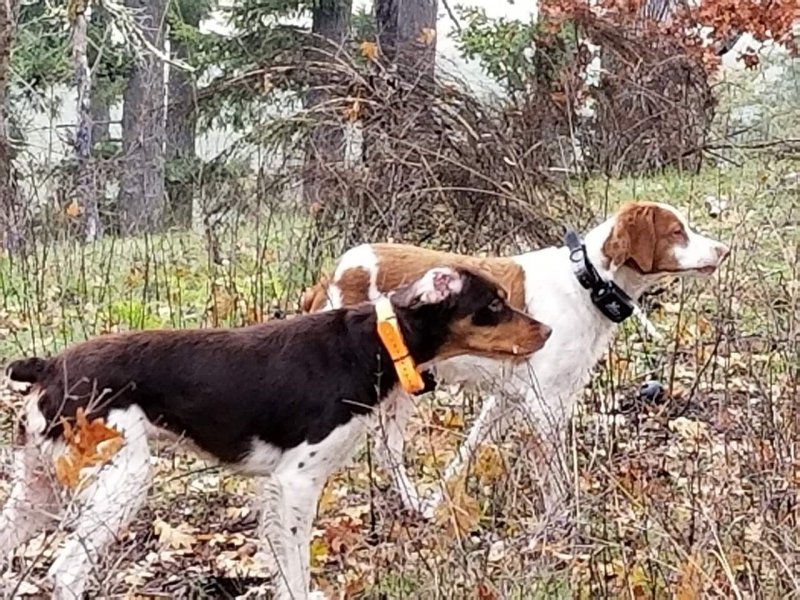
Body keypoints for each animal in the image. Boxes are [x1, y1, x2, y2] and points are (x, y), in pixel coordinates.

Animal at [0, 268, 552, 600]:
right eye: (494, 305)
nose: (546, 331)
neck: (376, 342)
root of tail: (49, 366)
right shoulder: (296, 481)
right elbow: (296, 563)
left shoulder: (278, 488)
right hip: (121, 481)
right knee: (67, 571)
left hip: (37, 492)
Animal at [300, 200, 732, 516]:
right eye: (677, 231)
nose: (724, 249)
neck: (586, 284)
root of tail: (332, 275)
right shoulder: (545, 406)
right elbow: (555, 480)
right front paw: (560, 529)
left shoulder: (506, 399)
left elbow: (465, 454)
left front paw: (438, 504)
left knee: (387, 451)